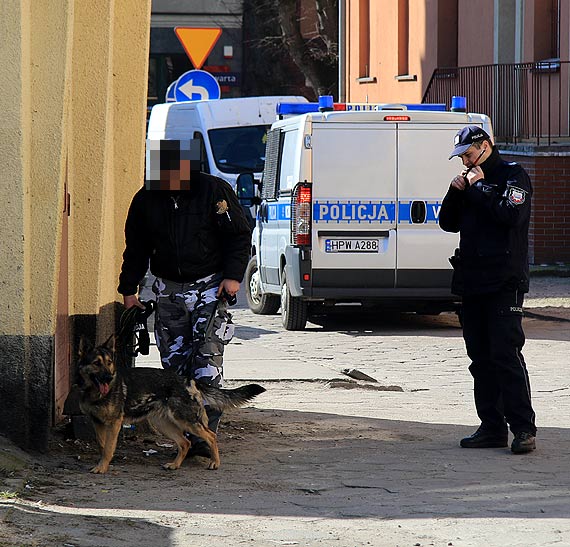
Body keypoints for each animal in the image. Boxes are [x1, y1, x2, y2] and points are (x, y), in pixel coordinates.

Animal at [74, 336, 266, 474]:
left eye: (109, 362)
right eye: (97, 363)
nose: (108, 377)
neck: (94, 392)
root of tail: (189, 379)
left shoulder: (114, 424)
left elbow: (108, 447)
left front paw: (102, 467)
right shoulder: (97, 423)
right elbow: (102, 445)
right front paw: (103, 463)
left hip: (186, 421)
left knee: (211, 436)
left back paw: (214, 462)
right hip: (164, 424)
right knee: (185, 443)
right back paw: (175, 465)